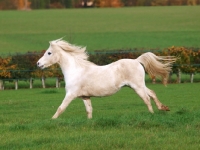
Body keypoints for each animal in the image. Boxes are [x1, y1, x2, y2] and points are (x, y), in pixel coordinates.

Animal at [37, 38, 175, 119]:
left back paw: (152, 114)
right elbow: (89, 111)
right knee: (152, 93)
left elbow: (61, 108)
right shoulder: (85, 96)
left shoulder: (70, 94)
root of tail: (137, 60)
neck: (75, 71)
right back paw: (163, 108)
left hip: (137, 86)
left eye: (49, 53)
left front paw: (52, 120)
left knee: (146, 98)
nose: (38, 64)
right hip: (138, 85)